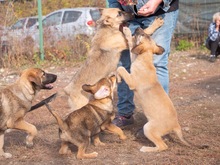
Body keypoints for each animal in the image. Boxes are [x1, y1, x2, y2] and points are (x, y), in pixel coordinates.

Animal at [28, 8, 163, 113]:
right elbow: (145, 31)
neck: (107, 29)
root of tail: (67, 89)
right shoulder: (128, 41)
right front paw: (155, 24)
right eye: (119, 13)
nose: (134, 13)